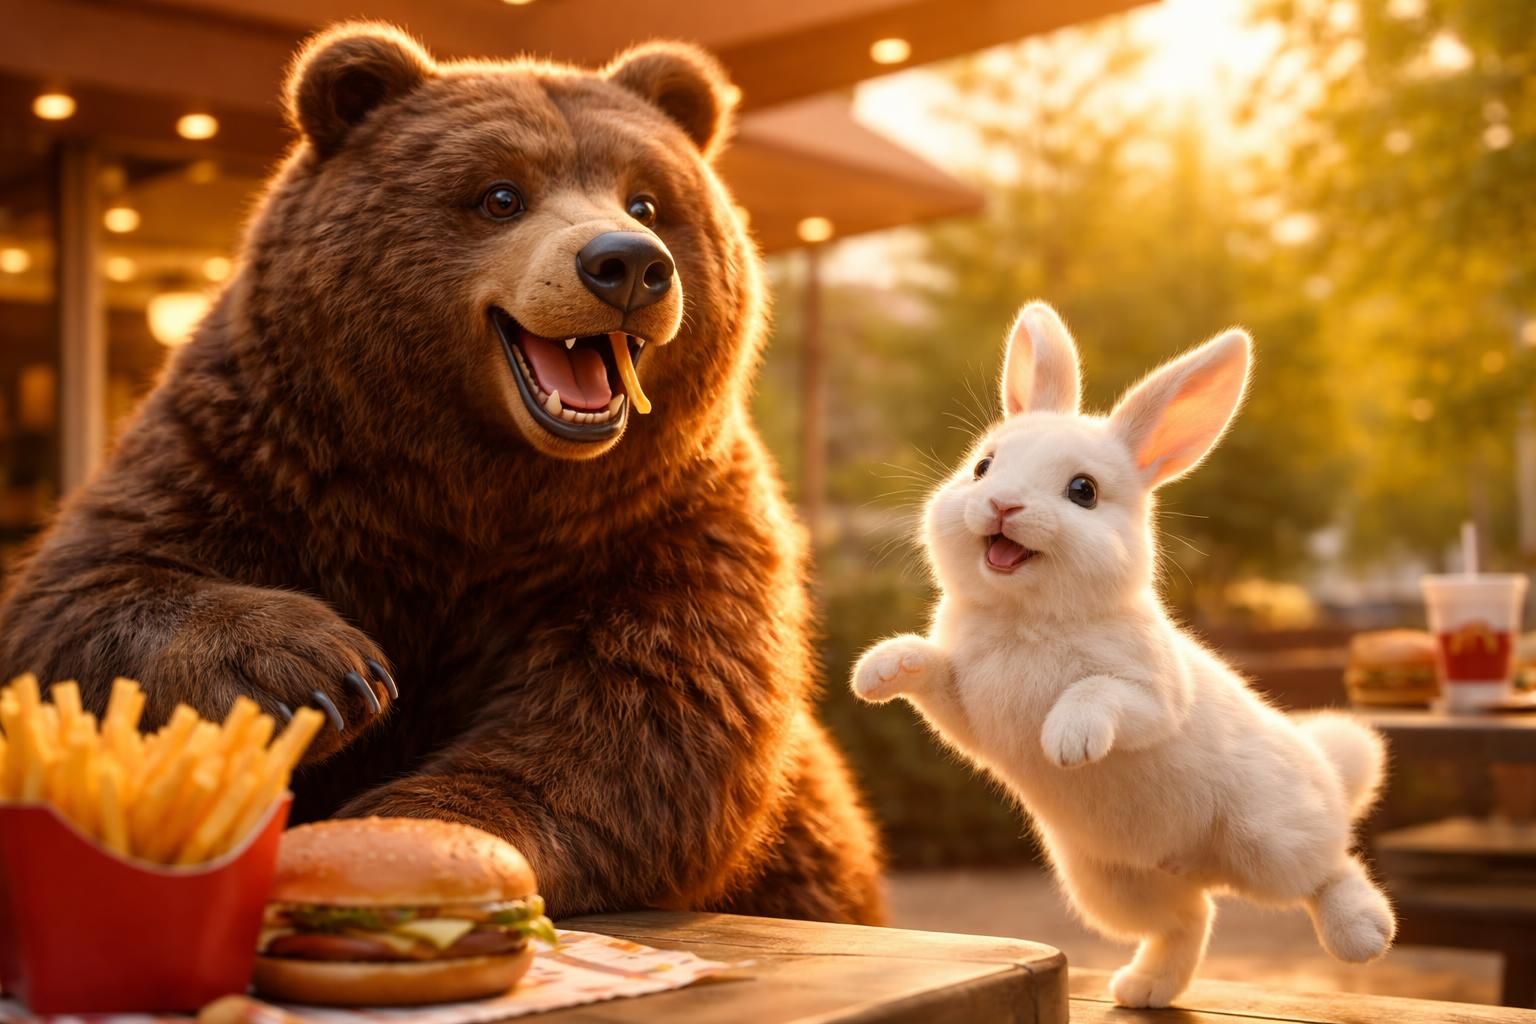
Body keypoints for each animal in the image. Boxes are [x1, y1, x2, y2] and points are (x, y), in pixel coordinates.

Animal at [851, 302, 1395, 1008]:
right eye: (983, 467)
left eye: (1082, 490)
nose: (1001, 504)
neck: (1029, 620)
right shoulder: (966, 711)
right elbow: (930, 667)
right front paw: (876, 671)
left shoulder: (1152, 695)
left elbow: (1098, 692)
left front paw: (1069, 742)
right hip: (1112, 886)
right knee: (1191, 920)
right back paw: (1143, 989)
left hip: (1272, 840)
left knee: (1329, 871)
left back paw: (1363, 933)